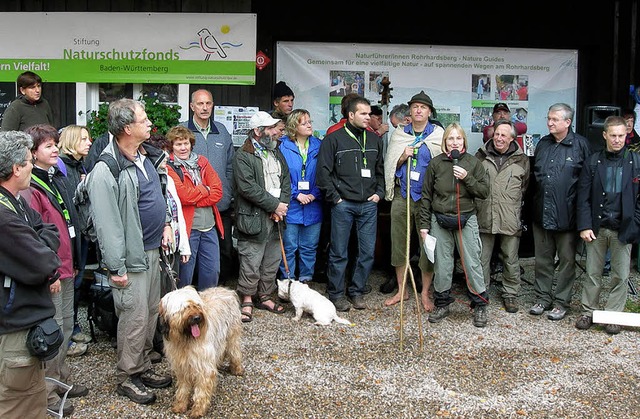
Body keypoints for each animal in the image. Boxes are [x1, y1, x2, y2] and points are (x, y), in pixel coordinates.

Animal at [159, 288, 245, 418]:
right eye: (185, 308)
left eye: (197, 305)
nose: (197, 318)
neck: (186, 341)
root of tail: (228, 290)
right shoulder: (182, 368)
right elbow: (183, 389)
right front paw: (180, 405)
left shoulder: (204, 367)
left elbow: (201, 391)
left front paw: (198, 410)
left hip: (232, 335)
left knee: (235, 352)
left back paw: (237, 369)